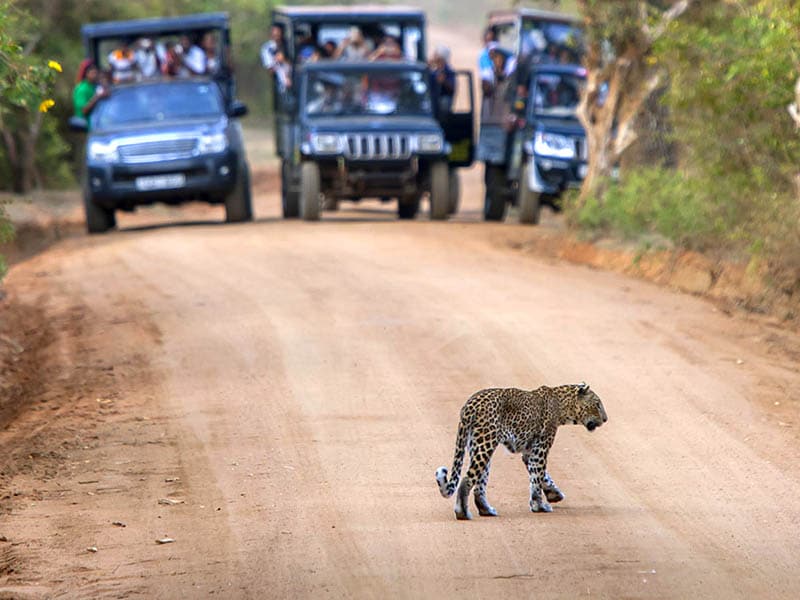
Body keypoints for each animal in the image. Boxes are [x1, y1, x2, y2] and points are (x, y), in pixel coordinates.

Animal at [438, 384, 608, 520]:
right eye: (597, 404)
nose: (605, 419)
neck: (562, 405)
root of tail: (469, 405)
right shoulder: (541, 447)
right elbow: (538, 476)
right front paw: (539, 506)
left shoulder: (529, 452)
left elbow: (541, 476)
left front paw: (553, 494)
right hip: (485, 443)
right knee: (467, 479)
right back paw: (462, 513)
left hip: (476, 445)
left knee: (480, 484)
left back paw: (486, 510)